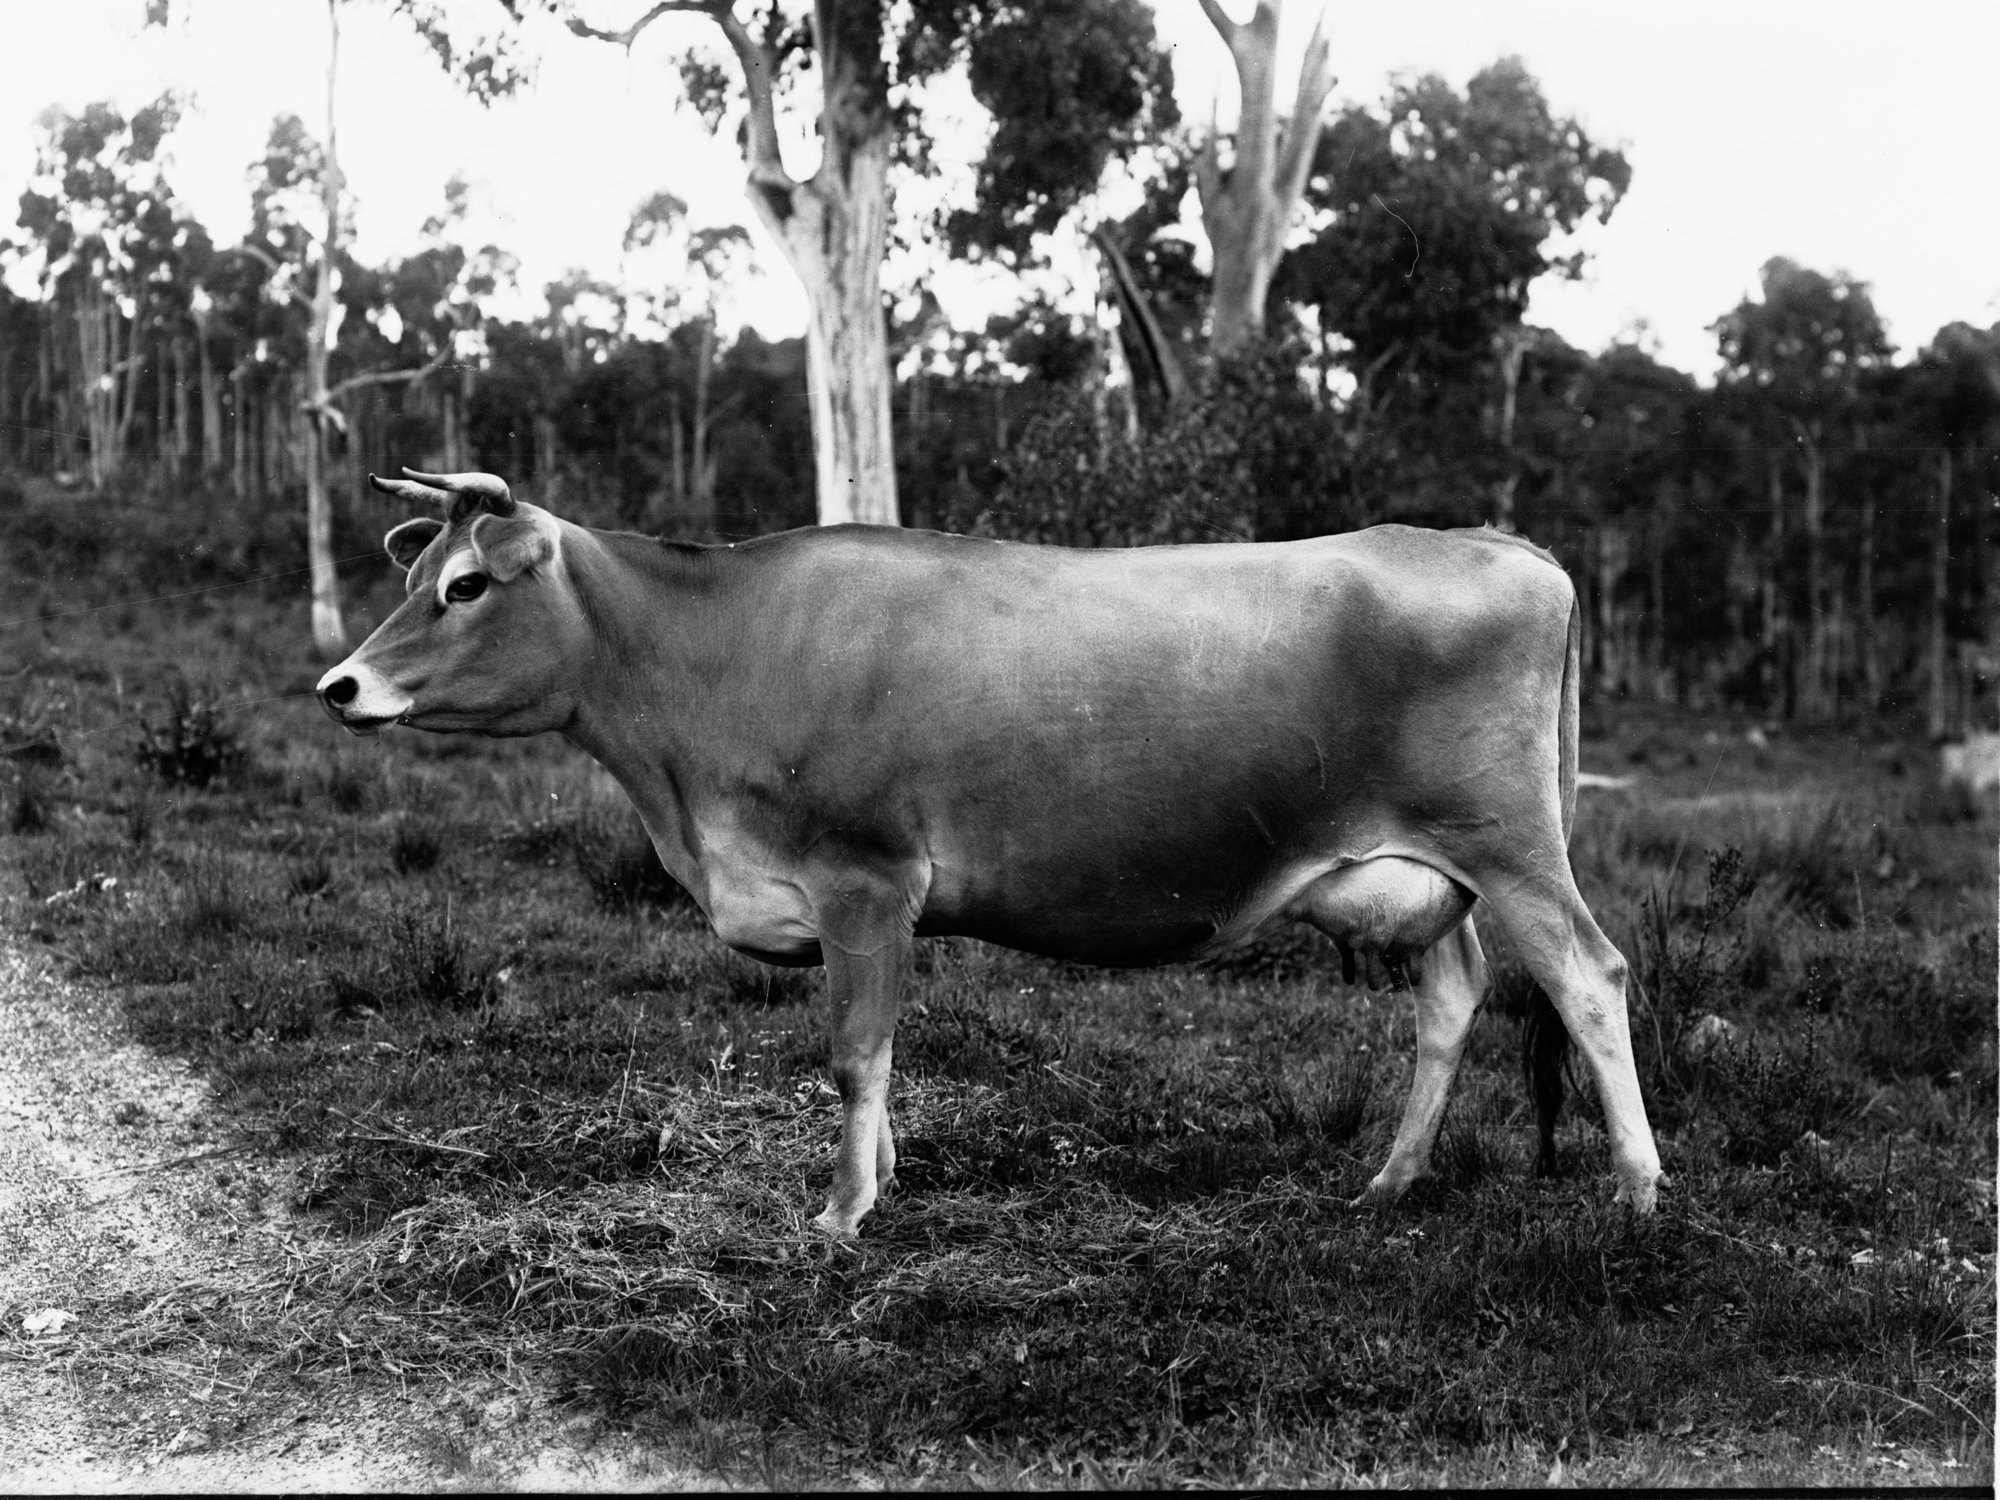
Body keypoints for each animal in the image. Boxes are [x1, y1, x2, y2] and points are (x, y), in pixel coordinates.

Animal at [317, 468, 1664, 1236]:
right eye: (419, 572)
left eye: (468, 586)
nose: (339, 686)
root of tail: (1499, 544)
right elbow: (880, 1051)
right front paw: (883, 1175)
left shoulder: (863, 877)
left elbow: (853, 1050)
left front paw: (842, 1210)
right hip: (1422, 878)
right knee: (1454, 998)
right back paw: (1389, 1181)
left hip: (1510, 847)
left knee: (1588, 979)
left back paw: (1637, 1191)